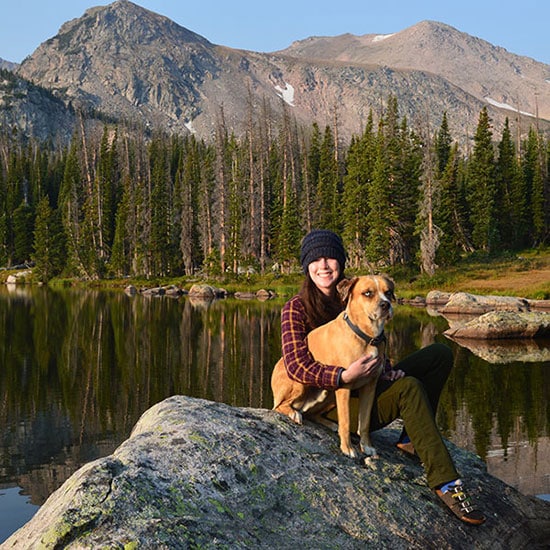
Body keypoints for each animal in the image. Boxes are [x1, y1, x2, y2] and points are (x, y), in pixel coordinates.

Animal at [272, 276, 396, 462]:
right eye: (367, 293)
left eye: (388, 292)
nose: (386, 304)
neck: (368, 336)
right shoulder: (345, 386)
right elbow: (345, 421)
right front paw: (347, 448)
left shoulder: (370, 387)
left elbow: (364, 422)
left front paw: (366, 446)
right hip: (300, 385)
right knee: (280, 405)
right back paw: (293, 413)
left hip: (329, 394)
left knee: (312, 414)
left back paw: (329, 423)